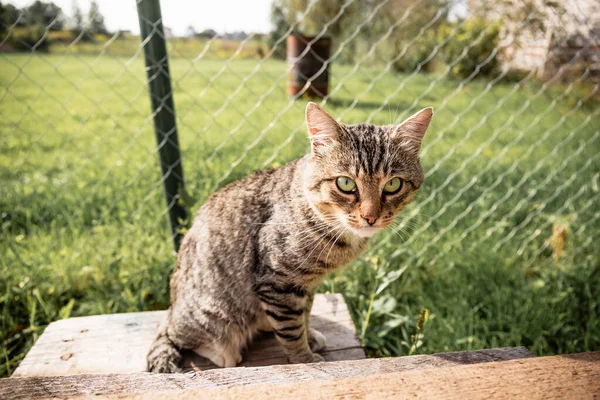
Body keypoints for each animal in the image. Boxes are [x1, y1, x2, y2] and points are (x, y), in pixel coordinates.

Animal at [148, 102, 434, 372]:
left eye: (393, 184)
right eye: (345, 183)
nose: (371, 217)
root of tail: (172, 306)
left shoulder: (304, 285)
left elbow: (304, 315)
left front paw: (309, 337)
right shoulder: (279, 282)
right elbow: (291, 330)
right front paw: (304, 360)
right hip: (212, 314)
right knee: (174, 336)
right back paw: (222, 351)